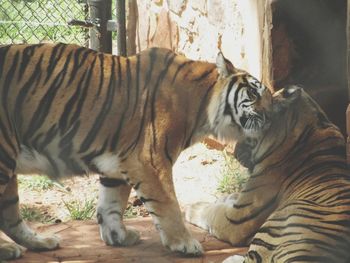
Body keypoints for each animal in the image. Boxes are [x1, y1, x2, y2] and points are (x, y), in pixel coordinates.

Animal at [0, 43, 270, 260]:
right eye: (253, 93)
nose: (271, 113)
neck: (202, 103)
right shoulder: (150, 161)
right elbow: (168, 204)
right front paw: (184, 243)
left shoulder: (117, 161)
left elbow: (110, 203)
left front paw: (117, 236)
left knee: (9, 215)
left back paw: (39, 242)